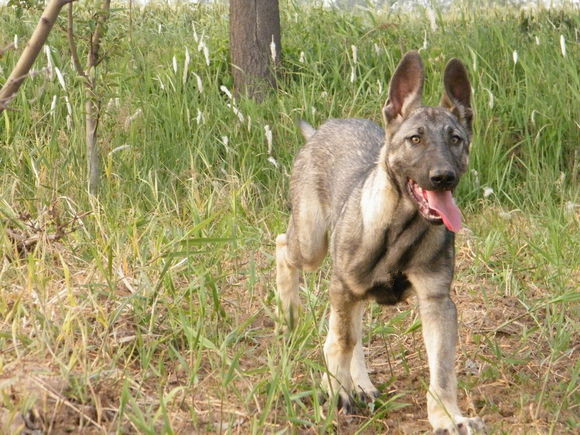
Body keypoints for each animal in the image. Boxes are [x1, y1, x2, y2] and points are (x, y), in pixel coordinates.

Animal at [276, 52, 484, 434]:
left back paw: (360, 383)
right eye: (415, 139)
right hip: (311, 242)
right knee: (284, 247)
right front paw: (337, 392)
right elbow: (341, 342)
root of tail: (321, 129)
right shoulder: (343, 286)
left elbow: (442, 368)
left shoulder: (436, 301)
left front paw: (448, 417)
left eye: (456, 139)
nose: (443, 177)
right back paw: (290, 314)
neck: (401, 228)